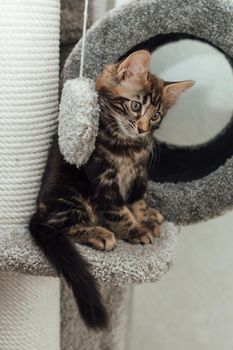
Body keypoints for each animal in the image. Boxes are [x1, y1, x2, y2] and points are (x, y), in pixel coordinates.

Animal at [30, 49, 194, 328]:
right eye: (136, 106)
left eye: (156, 116)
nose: (143, 129)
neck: (127, 146)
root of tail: (38, 214)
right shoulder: (103, 179)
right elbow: (120, 211)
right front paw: (137, 230)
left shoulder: (139, 175)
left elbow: (138, 201)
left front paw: (146, 217)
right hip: (70, 194)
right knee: (62, 226)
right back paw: (99, 234)